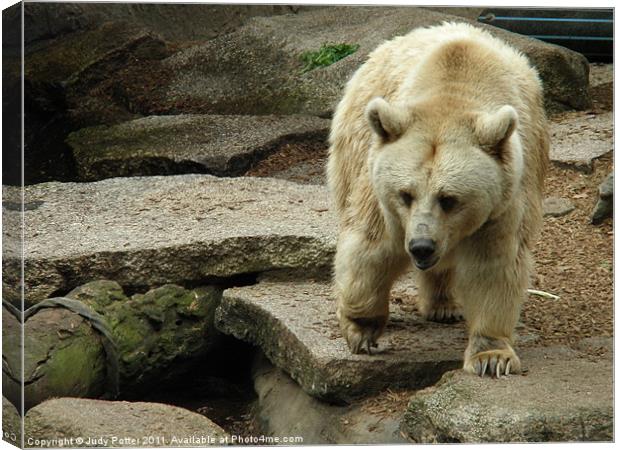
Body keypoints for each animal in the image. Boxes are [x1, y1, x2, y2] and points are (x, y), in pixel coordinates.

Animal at [326, 22, 548, 378]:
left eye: (450, 199)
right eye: (405, 194)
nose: (421, 246)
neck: (453, 89)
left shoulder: (505, 197)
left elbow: (494, 264)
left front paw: (491, 356)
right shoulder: (382, 195)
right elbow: (374, 245)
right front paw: (362, 329)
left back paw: (445, 305)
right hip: (355, 140)